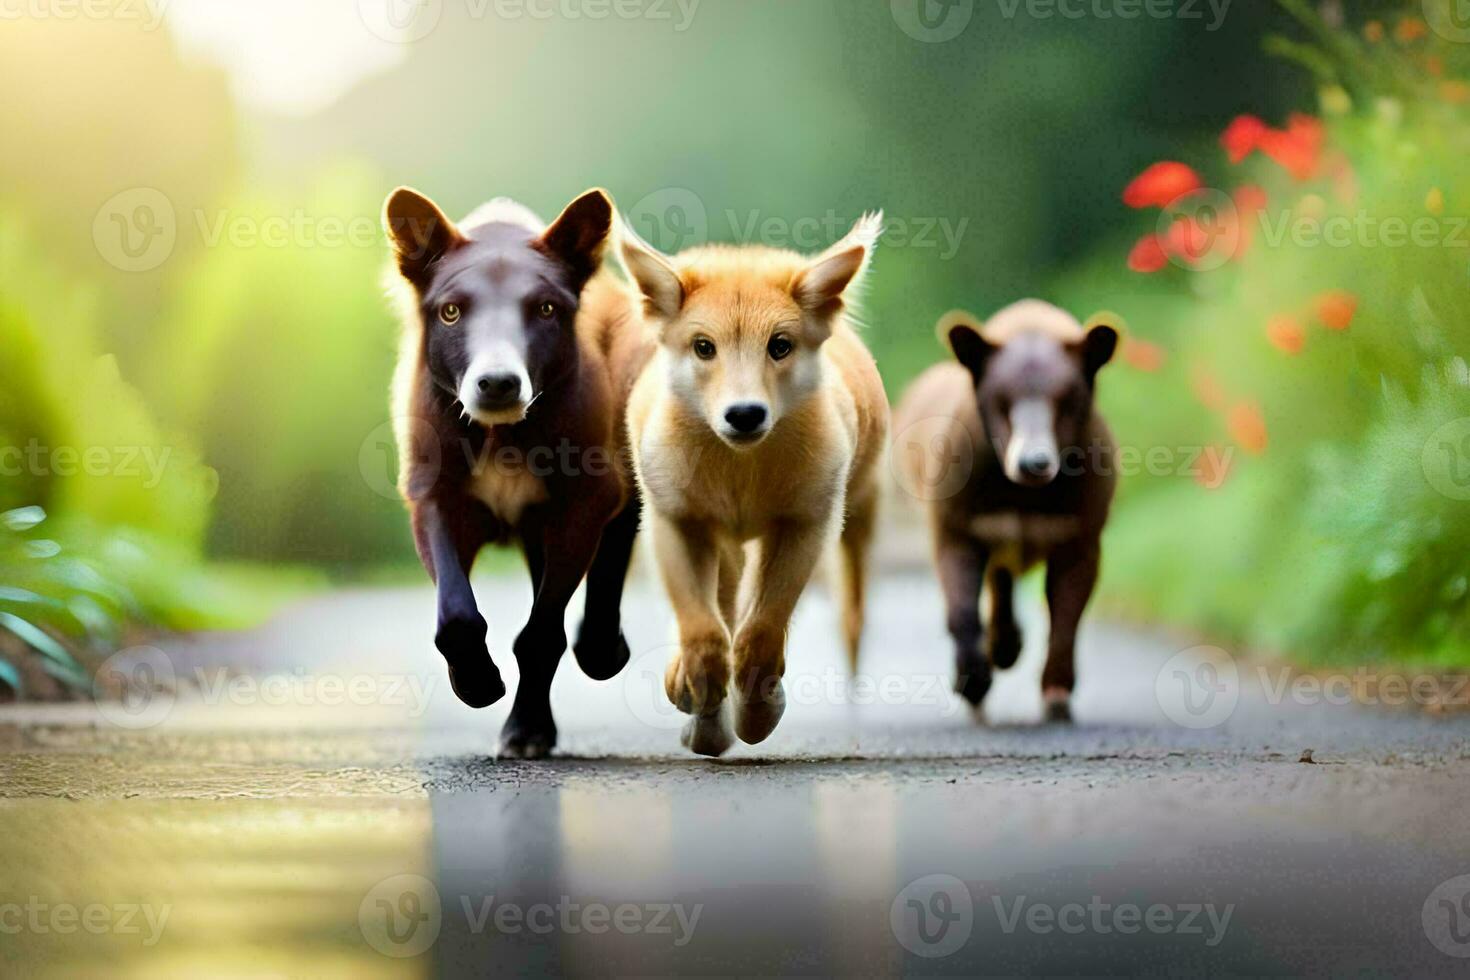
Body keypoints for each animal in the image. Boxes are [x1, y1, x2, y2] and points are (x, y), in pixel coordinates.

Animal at [382, 185, 652, 758]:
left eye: (546, 308)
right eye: (451, 312)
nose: (499, 383)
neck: (501, 434)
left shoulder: (582, 503)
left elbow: (541, 633)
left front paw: (524, 730)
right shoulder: (434, 494)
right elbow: (456, 612)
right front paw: (477, 683)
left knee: (619, 538)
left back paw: (602, 649)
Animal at [617, 211, 882, 758]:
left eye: (779, 345)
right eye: (704, 347)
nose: (744, 415)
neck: (739, 476)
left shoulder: (808, 518)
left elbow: (760, 631)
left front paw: (758, 711)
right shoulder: (675, 517)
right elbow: (702, 629)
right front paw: (696, 689)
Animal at [887, 302, 1117, 725]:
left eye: (1068, 399)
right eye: (1001, 399)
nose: (1034, 461)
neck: (1021, 493)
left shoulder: (1081, 518)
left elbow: (1069, 604)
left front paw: (1057, 692)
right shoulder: (957, 508)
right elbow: (960, 594)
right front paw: (973, 682)